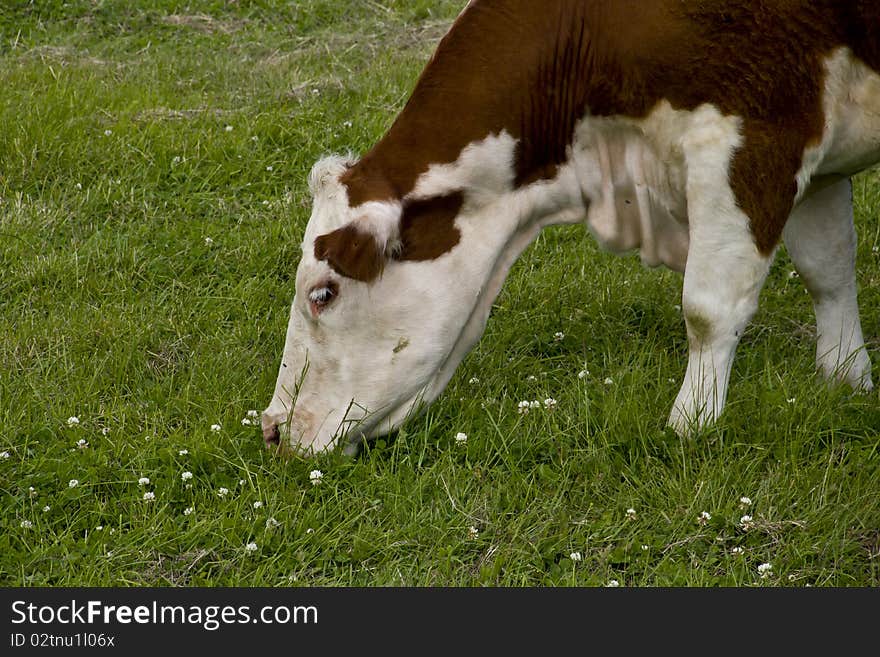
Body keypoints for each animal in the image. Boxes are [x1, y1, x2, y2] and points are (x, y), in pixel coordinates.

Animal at [260, 0, 872, 452]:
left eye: (322, 293)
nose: (271, 428)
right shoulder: (816, 160)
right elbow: (829, 269)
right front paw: (848, 380)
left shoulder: (753, 135)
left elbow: (708, 309)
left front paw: (691, 425)